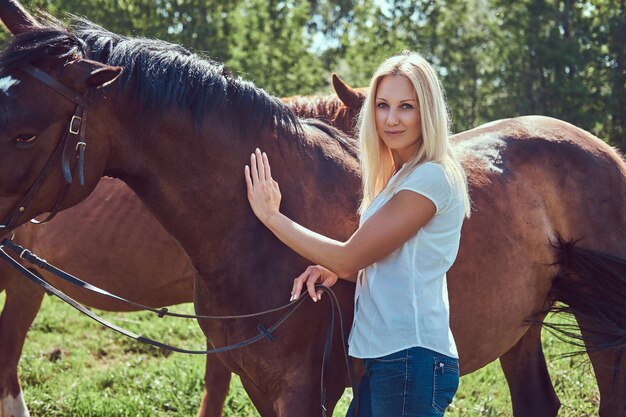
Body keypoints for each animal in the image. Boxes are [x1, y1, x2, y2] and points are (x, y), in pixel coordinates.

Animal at [0, 13, 620, 416]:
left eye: (24, 132)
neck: (251, 239)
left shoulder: (302, 389)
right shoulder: (256, 380)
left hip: (603, 327)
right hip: (520, 324)